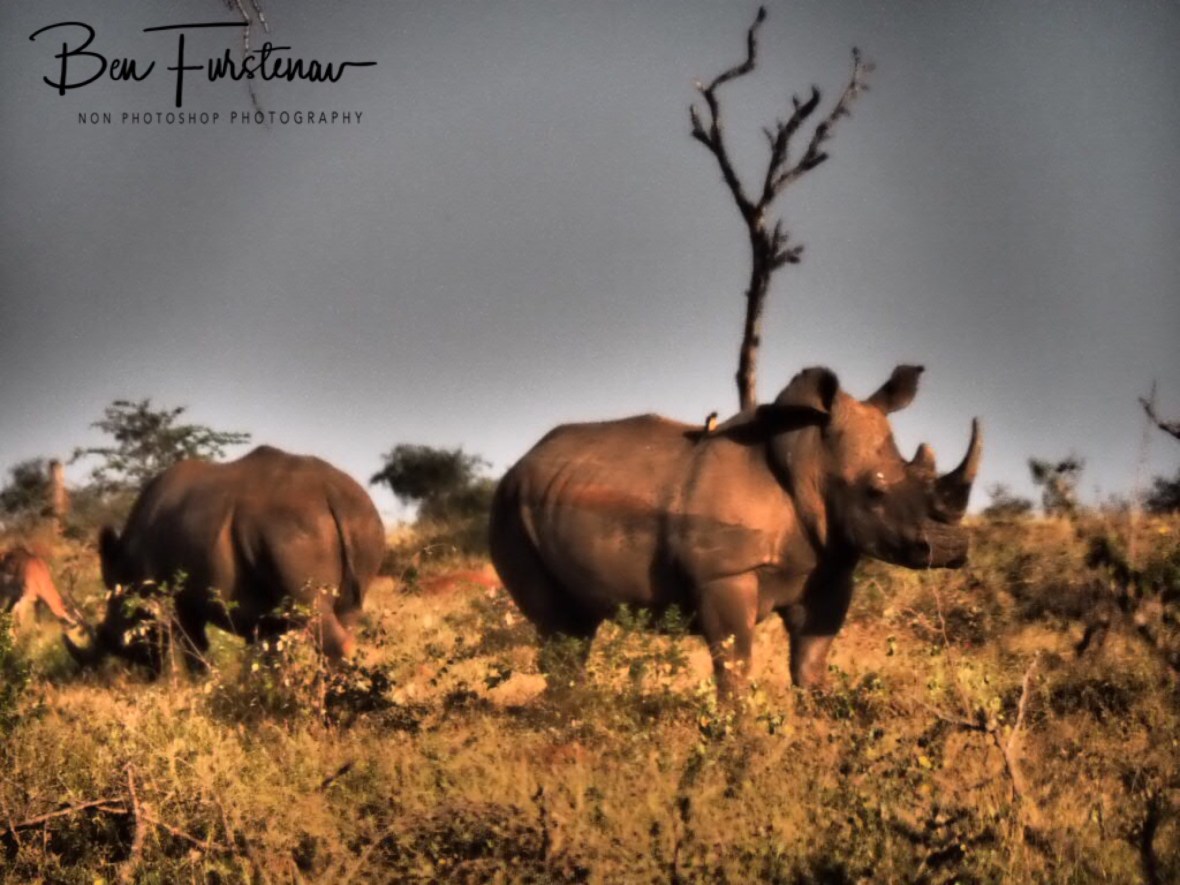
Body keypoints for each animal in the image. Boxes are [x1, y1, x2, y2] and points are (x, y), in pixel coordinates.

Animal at [65, 445, 385, 674]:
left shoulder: (180, 599)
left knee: (318, 615)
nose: (141, 671)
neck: (128, 563)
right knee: (348, 614)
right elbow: (270, 658)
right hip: (362, 521)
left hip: (293, 529)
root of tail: (333, 494)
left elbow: (195, 648)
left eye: (112, 633)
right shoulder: (265, 612)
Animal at [489, 365, 980, 694]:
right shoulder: (724, 575)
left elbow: (811, 659)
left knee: (577, 625)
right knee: (558, 627)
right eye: (873, 493)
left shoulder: (829, 569)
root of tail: (522, 461)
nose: (954, 549)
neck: (808, 459)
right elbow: (735, 667)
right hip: (510, 507)